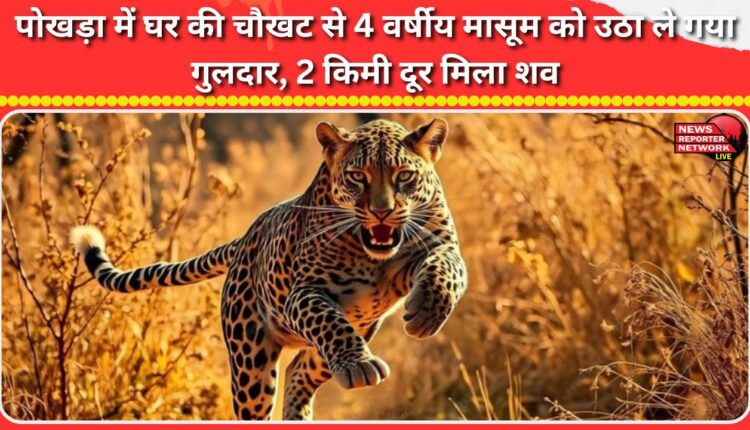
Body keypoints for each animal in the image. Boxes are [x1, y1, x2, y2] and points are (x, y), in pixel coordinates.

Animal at [70, 118, 468, 420]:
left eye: (404, 176)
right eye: (357, 177)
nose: (382, 212)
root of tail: (246, 238)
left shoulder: (442, 245)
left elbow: (449, 269)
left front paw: (427, 312)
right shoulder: (305, 294)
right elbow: (329, 321)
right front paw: (361, 363)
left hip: (355, 331)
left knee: (299, 372)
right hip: (251, 361)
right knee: (261, 395)